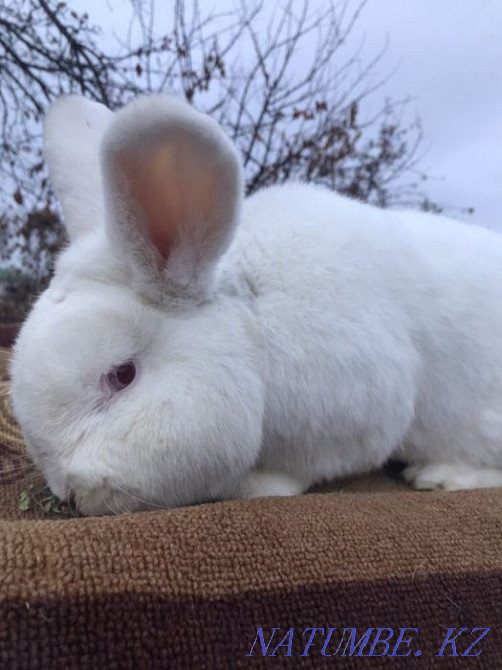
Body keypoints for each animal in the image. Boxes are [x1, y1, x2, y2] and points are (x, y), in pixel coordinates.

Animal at [9, 93, 502, 516]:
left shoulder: (357, 414)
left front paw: (250, 486)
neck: (252, 324)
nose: (68, 492)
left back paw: (440, 476)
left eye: (121, 375)